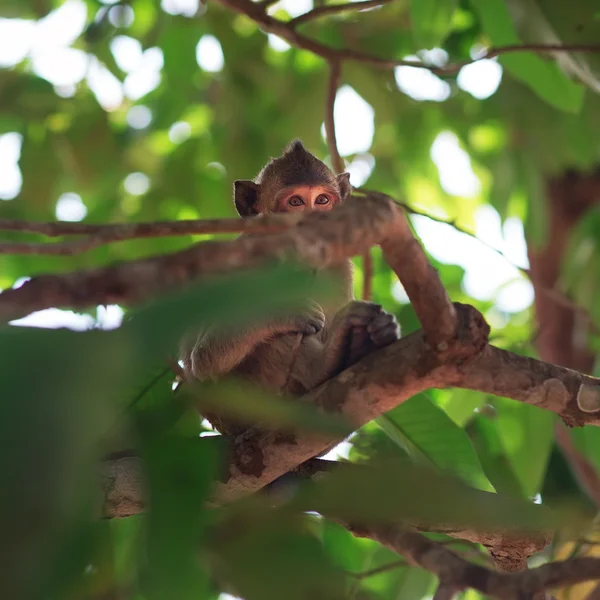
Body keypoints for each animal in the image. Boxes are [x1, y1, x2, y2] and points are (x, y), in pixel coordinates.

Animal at [180, 139, 400, 434]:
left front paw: (382, 327)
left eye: (322, 200)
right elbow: (204, 358)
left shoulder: (339, 266)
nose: (314, 219)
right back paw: (323, 364)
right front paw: (286, 311)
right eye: (295, 202)